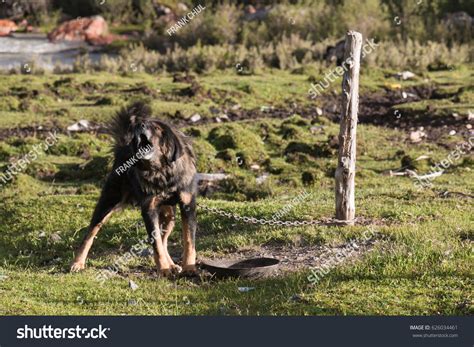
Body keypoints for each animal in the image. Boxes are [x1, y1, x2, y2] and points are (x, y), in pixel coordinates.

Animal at [69, 101, 197, 278]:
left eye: (156, 128)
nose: (139, 124)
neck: (161, 171)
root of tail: (122, 146)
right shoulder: (149, 209)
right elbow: (156, 245)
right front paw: (163, 269)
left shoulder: (187, 205)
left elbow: (188, 240)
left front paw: (189, 268)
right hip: (108, 202)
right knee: (89, 234)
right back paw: (77, 263)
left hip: (168, 216)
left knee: (164, 239)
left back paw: (171, 265)